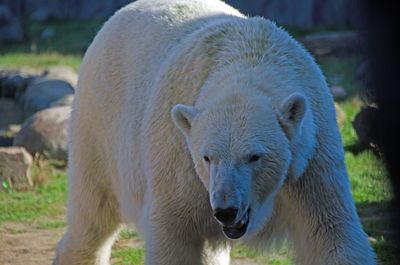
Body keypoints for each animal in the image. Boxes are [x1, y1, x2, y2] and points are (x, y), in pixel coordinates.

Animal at [54, 0, 376, 262]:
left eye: (254, 156)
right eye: (207, 157)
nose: (225, 210)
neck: (250, 59)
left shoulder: (310, 164)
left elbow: (331, 235)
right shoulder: (181, 162)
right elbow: (176, 232)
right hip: (99, 123)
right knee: (93, 211)